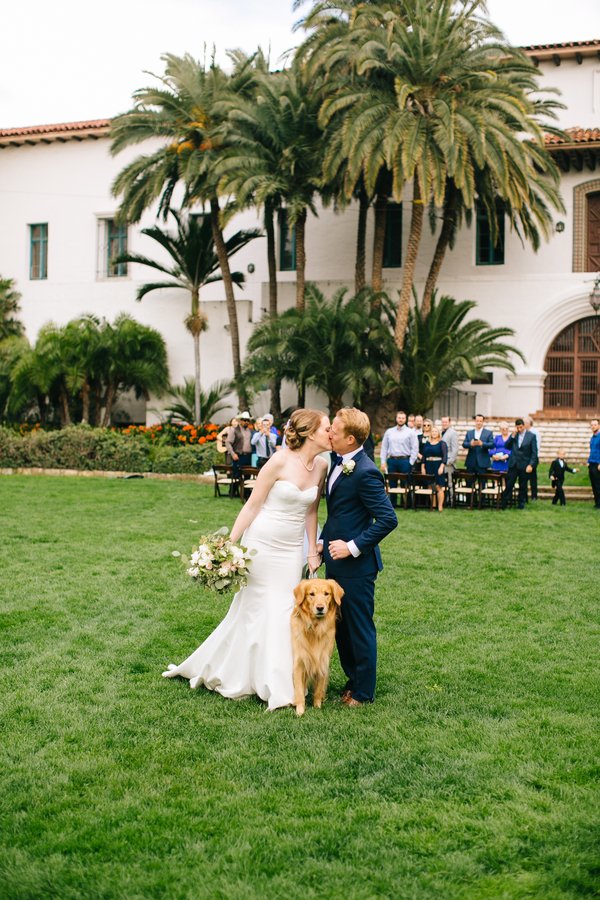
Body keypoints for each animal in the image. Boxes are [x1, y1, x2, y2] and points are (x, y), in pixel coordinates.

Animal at [290, 584, 342, 716]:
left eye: (326, 593)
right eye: (311, 594)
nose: (320, 608)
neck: (315, 627)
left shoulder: (323, 660)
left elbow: (319, 688)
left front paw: (317, 706)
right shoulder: (299, 661)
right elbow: (299, 690)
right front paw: (300, 710)